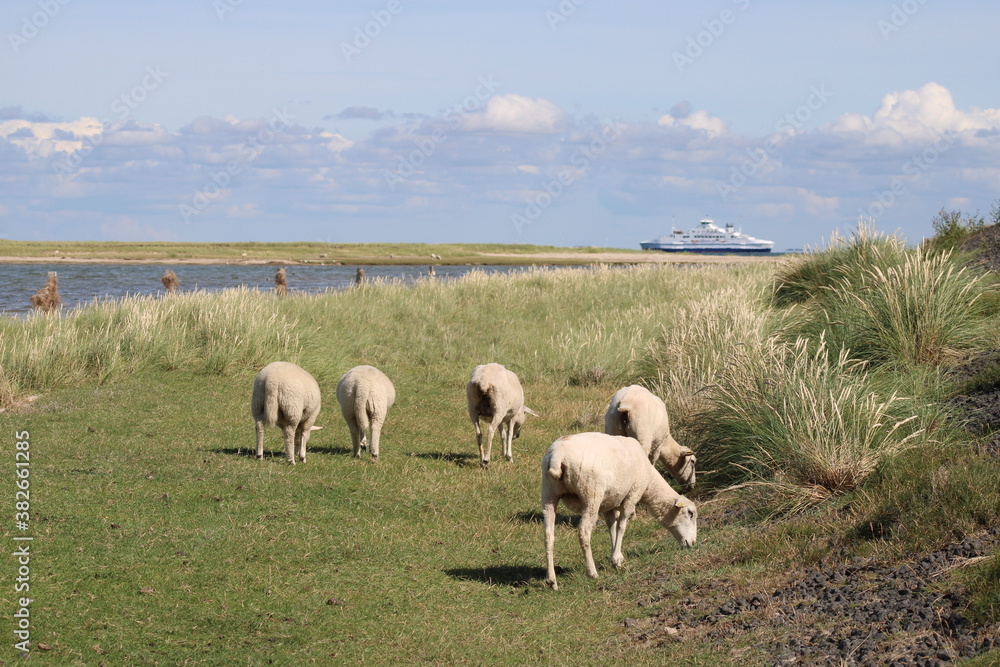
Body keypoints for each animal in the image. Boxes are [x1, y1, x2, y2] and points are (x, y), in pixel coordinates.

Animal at [541, 432, 697, 590]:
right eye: (690, 513)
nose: (693, 542)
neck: (649, 483)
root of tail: (557, 456)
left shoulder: (608, 504)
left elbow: (612, 527)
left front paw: (615, 555)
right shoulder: (632, 496)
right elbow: (621, 526)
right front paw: (617, 559)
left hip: (549, 492)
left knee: (548, 535)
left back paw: (551, 580)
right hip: (591, 494)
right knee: (584, 532)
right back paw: (592, 572)